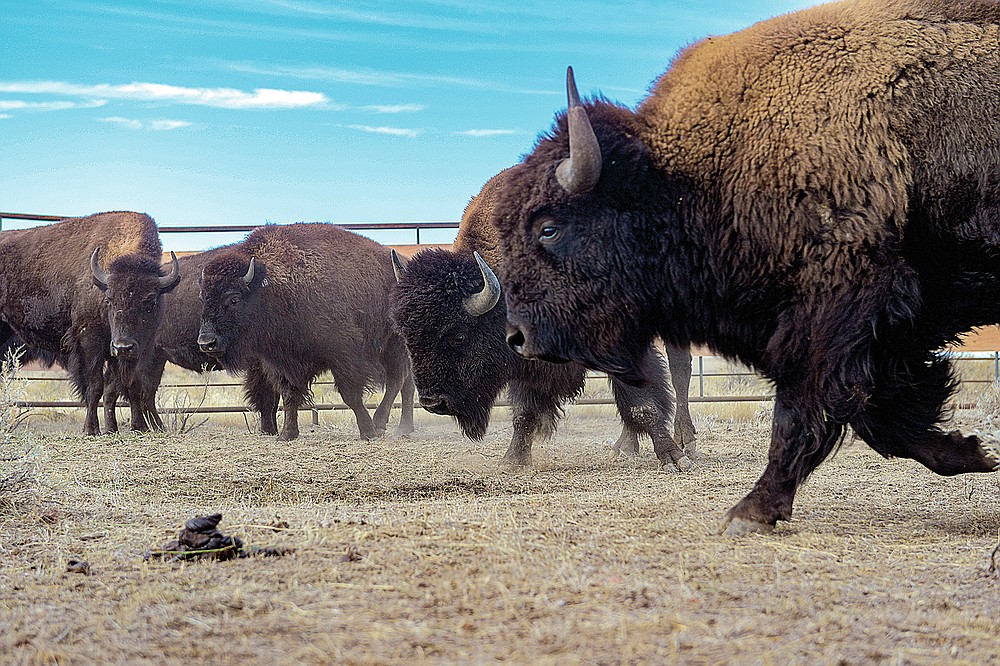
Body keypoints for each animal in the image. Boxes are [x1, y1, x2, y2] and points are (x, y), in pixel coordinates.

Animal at [0, 211, 178, 434]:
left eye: (151, 300)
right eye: (109, 299)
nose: (123, 346)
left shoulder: (137, 348)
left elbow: (128, 386)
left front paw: (133, 427)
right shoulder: (89, 341)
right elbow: (95, 385)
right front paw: (91, 429)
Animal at [197, 223, 414, 441]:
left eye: (234, 299)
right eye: (203, 298)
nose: (206, 342)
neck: (272, 290)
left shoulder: (344, 354)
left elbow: (350, 394)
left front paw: (368, 432)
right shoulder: (283, 362)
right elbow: (289, 395)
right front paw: (287, 434)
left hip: (394, 345)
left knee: (396, 380)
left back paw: (380, 424)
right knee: (406, 385)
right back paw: (404, 427)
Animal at [390, 172, 695, 468]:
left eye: (458, 335)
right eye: (407, 338)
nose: (432, 402)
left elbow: (642, 404)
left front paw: (673, 457)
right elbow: (524, 413)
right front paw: (513, 460)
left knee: (680, 372)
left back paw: (686, 443)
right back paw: (626, 447)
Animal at [496, 1, 1000, 534]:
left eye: (549, 228)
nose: (518, 336)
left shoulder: (834, 314)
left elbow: (806, 409)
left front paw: (750, 511)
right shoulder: (888, 330)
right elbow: (882, 416)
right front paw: (972, 452)